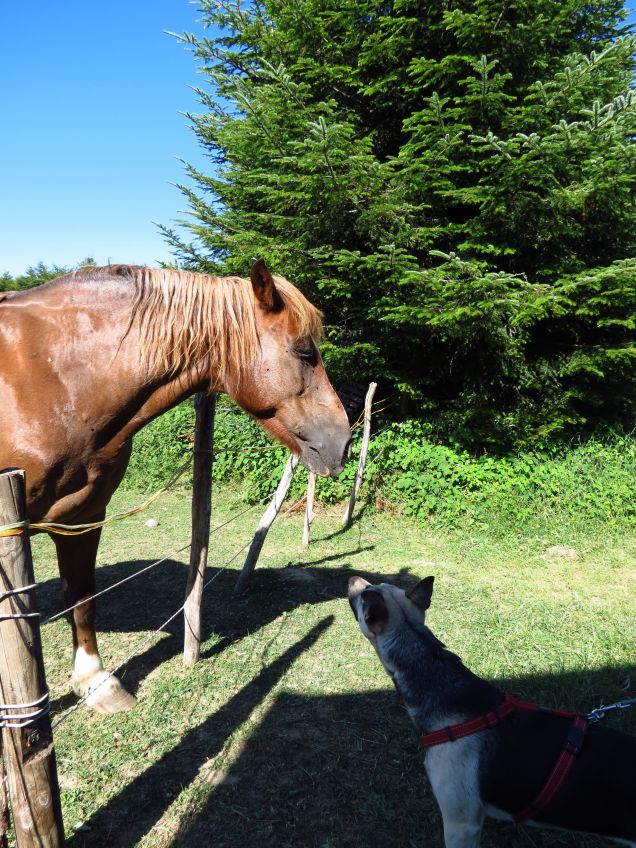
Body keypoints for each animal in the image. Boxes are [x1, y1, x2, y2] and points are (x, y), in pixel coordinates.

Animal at [0, 262, 352, 712]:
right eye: (305, 352)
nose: (343, 442)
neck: (53, 380)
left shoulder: (82, 517)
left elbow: (82, 598)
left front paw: (97, 684)